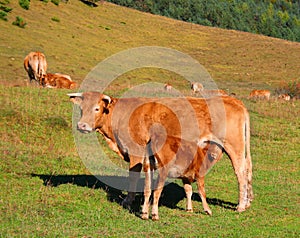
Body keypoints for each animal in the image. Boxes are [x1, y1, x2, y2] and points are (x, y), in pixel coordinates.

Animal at [68, 91, 253, 218]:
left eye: (97, 108)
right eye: (81, 109)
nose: (81, 125)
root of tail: (234, 101)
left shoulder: (136, 151)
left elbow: (133, 176)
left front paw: (128, 200)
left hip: (234, 147)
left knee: (241, 172)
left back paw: (241, 205)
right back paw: (248, 201)